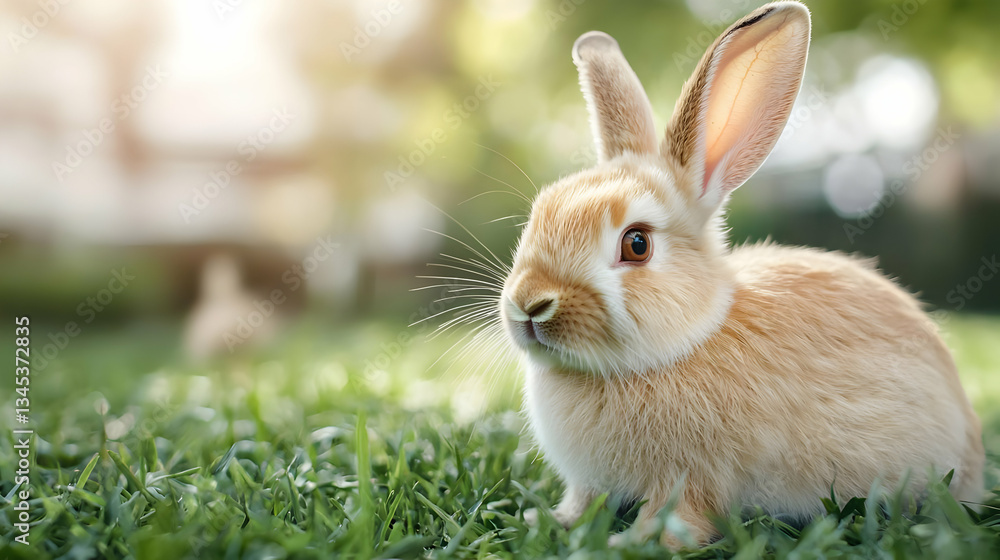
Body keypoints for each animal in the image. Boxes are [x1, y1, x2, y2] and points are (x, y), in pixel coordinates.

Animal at [499, 1, 984, 548]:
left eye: (637, 244)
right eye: (539, 213)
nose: (530, 304)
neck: (684, 343)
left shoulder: (690, 478)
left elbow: (675, 515)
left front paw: (634, 543)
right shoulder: (590, 482)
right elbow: (583, 502)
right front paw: (552, 521)